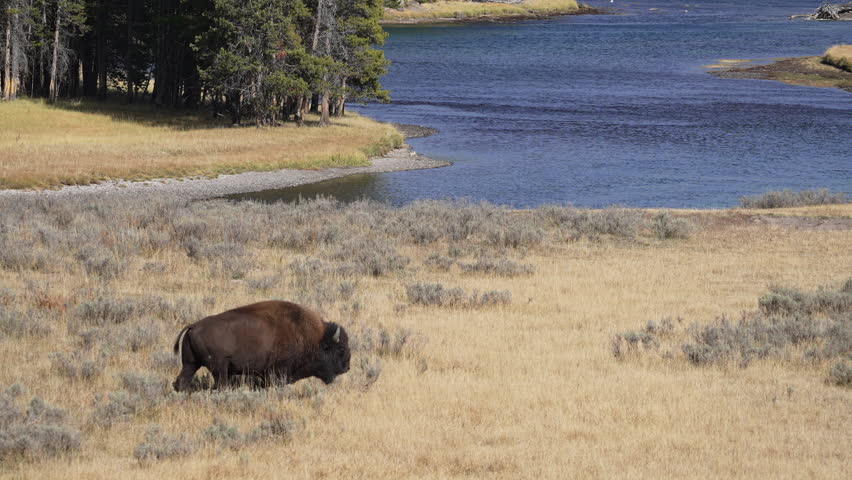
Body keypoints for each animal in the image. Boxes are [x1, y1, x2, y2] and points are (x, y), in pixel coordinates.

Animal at [172, 300, 350, 391]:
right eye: (340, 349)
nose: (347, 367)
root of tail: (193, 326)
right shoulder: (278, 373)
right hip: (219, 368)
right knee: (220, 384)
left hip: (190, 364)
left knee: (181, 381)